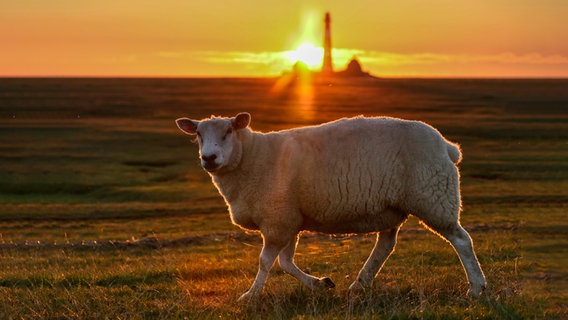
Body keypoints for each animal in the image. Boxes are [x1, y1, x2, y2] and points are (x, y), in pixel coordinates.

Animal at [175, 113, 486, 302]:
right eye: (198, 134)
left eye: (228, 130)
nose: (209, 158)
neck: (251, 157)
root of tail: (447, 146)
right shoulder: (290, 218)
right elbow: (285, 263)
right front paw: (320, 283)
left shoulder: (277, 219)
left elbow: (266, 262)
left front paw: (250, 296)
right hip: (394, 205)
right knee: (385, 245)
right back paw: (359, 284)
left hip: (434, 197)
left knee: (462, 240)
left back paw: (477, 287)